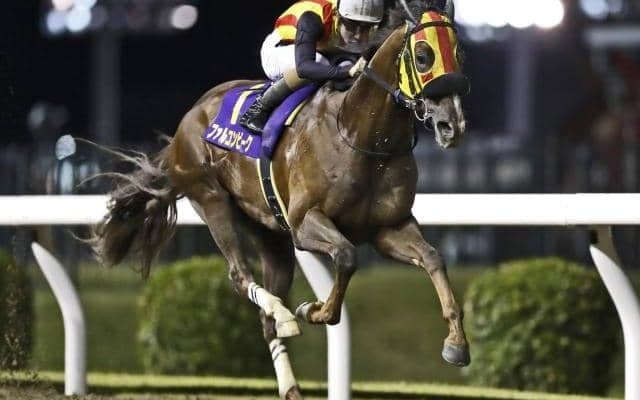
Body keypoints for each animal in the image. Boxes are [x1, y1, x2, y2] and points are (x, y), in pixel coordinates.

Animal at [90, 1, 470, 398]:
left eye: (460, 54)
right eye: (423, 55)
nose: (452, 125)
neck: (359, 135)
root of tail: (188, 120)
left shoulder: (389, 227)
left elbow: (433, 258)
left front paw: (456, 344)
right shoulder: (304, 223)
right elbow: (346, 257)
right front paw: (312, 310)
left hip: (269, 232)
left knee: (266, 314)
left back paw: (290, 380)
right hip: (210, 196)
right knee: (239, 275)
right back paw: (286, 314)